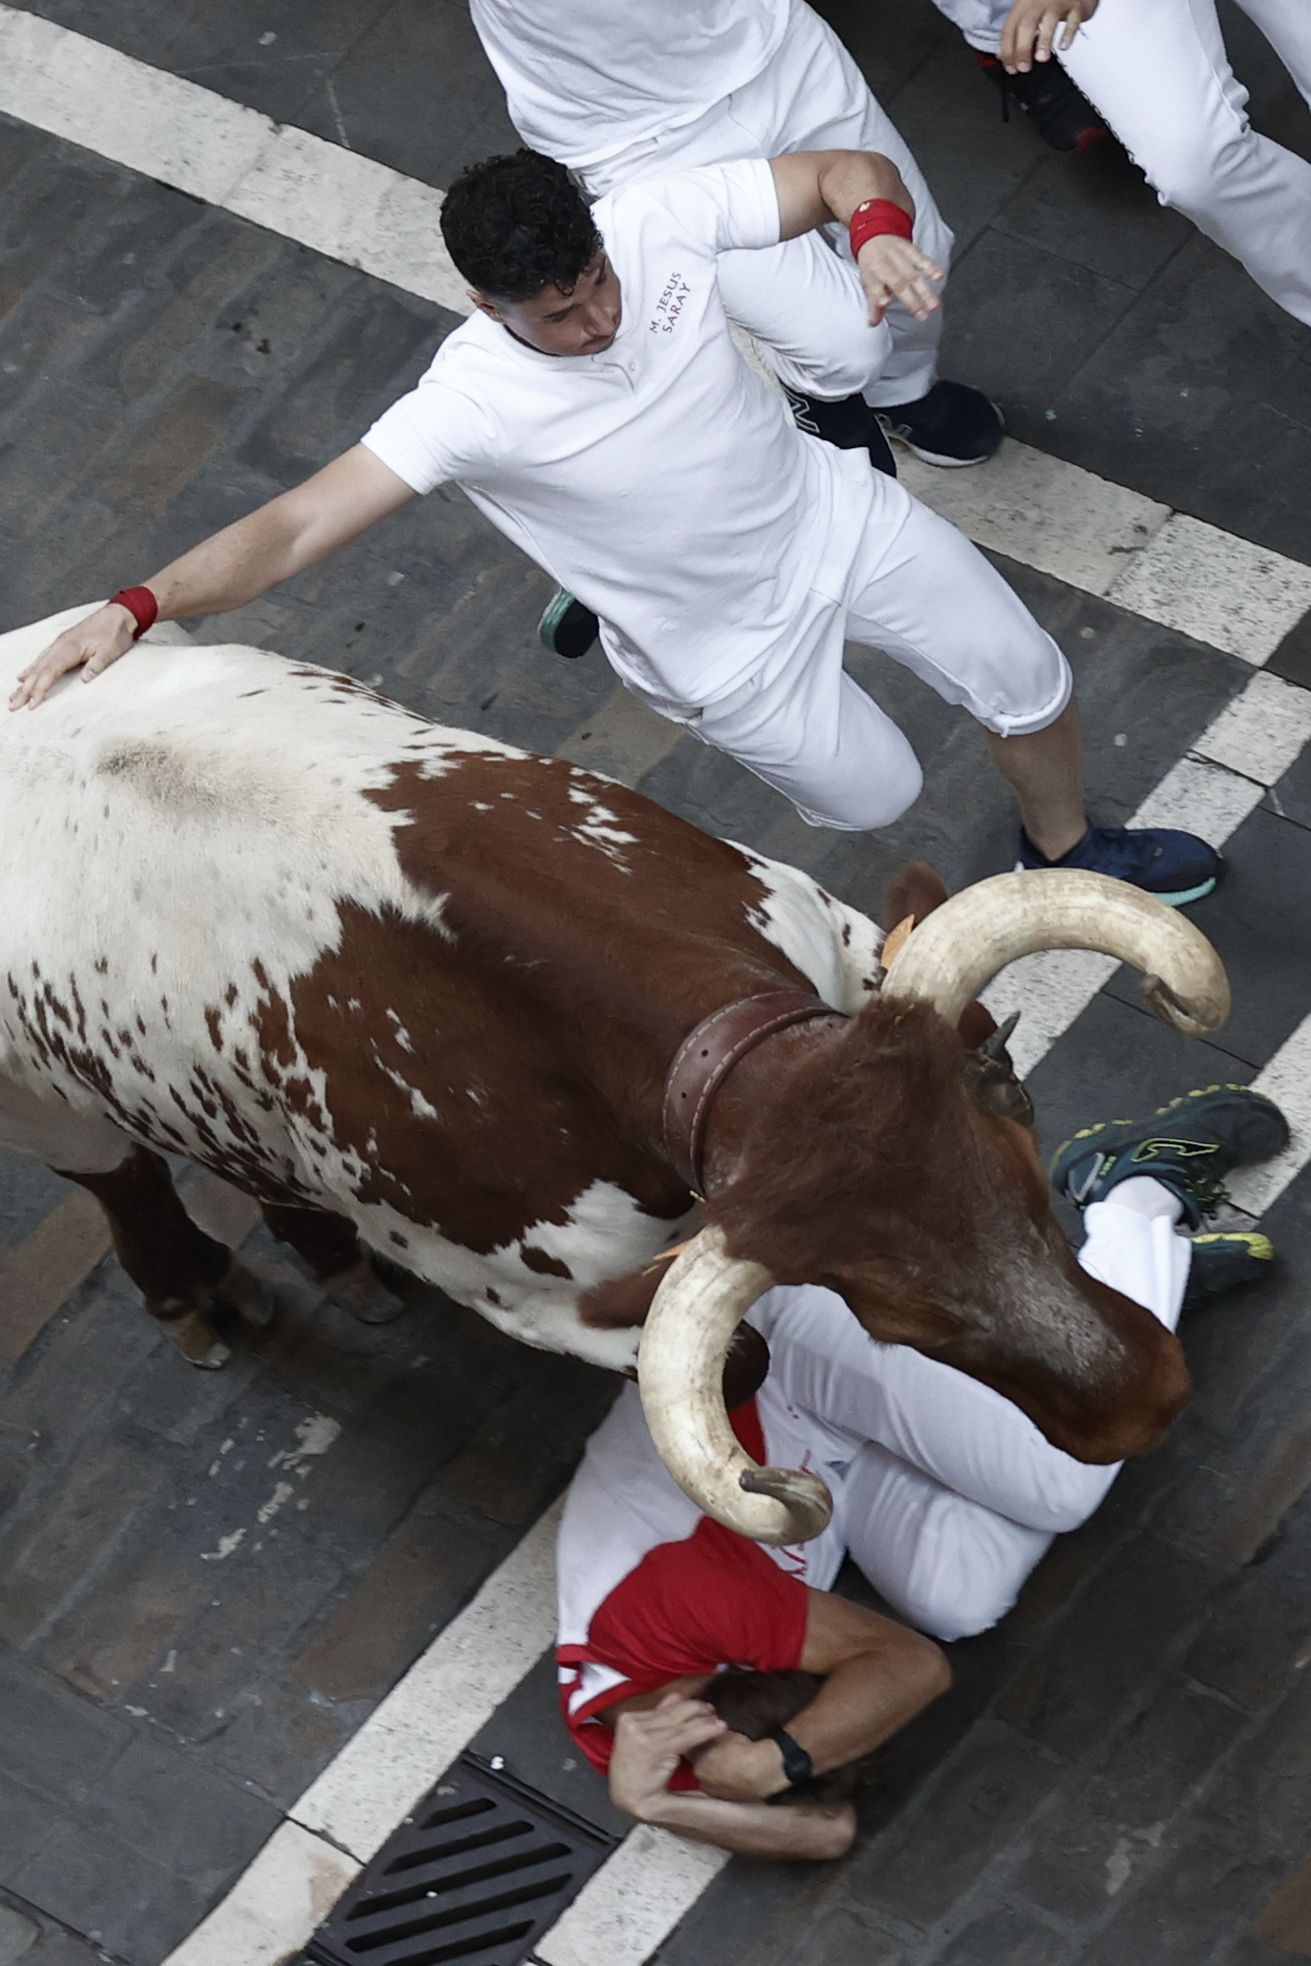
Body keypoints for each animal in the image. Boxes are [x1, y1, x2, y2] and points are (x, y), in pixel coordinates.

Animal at [0, 605, 1234, 1541]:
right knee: (118, 1177)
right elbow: (741, 1360)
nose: (1145, 1401)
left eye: (1018, 1144)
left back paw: (321, 1249)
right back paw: (196, 1294)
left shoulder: (824, 938)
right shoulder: (533, 1300)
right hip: (46, 1103)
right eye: (892, 1314)